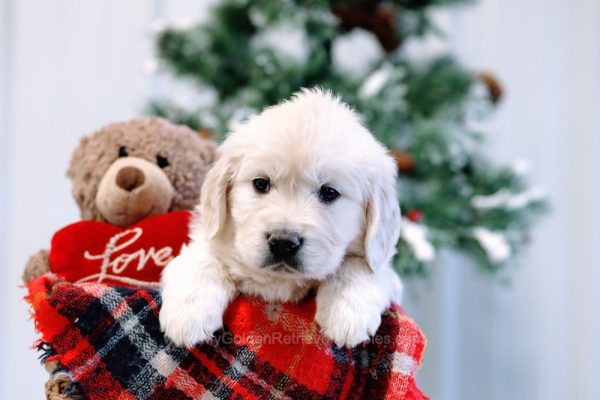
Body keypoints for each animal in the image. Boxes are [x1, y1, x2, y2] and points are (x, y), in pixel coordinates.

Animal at [159, 89, 404, 348]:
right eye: (261, 183)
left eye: (329, 192)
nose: (283, 243)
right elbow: (202, 259)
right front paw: (187, 314)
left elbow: (360, 266)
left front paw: (347, 310)